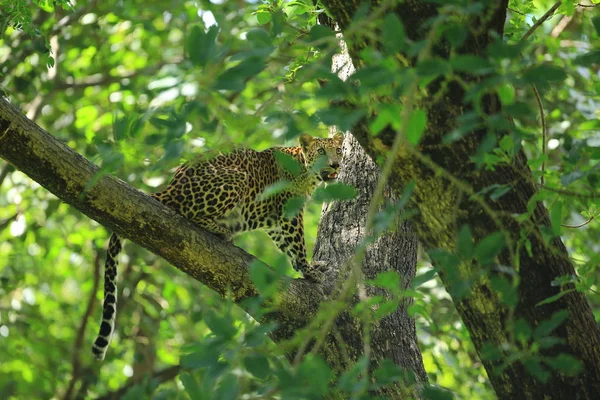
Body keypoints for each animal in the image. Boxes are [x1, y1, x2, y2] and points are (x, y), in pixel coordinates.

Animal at [89, 133, 342, 360]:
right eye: (321, 151)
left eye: (338, 151)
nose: (335, 164)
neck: (307, 173)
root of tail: (171, 186)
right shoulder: (289, 213)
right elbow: (297, 245)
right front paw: (309, 271)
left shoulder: (275, 222)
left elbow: (287, 246)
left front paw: (312, 267)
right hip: (236, 177)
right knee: (187, 212)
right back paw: (223, 230)